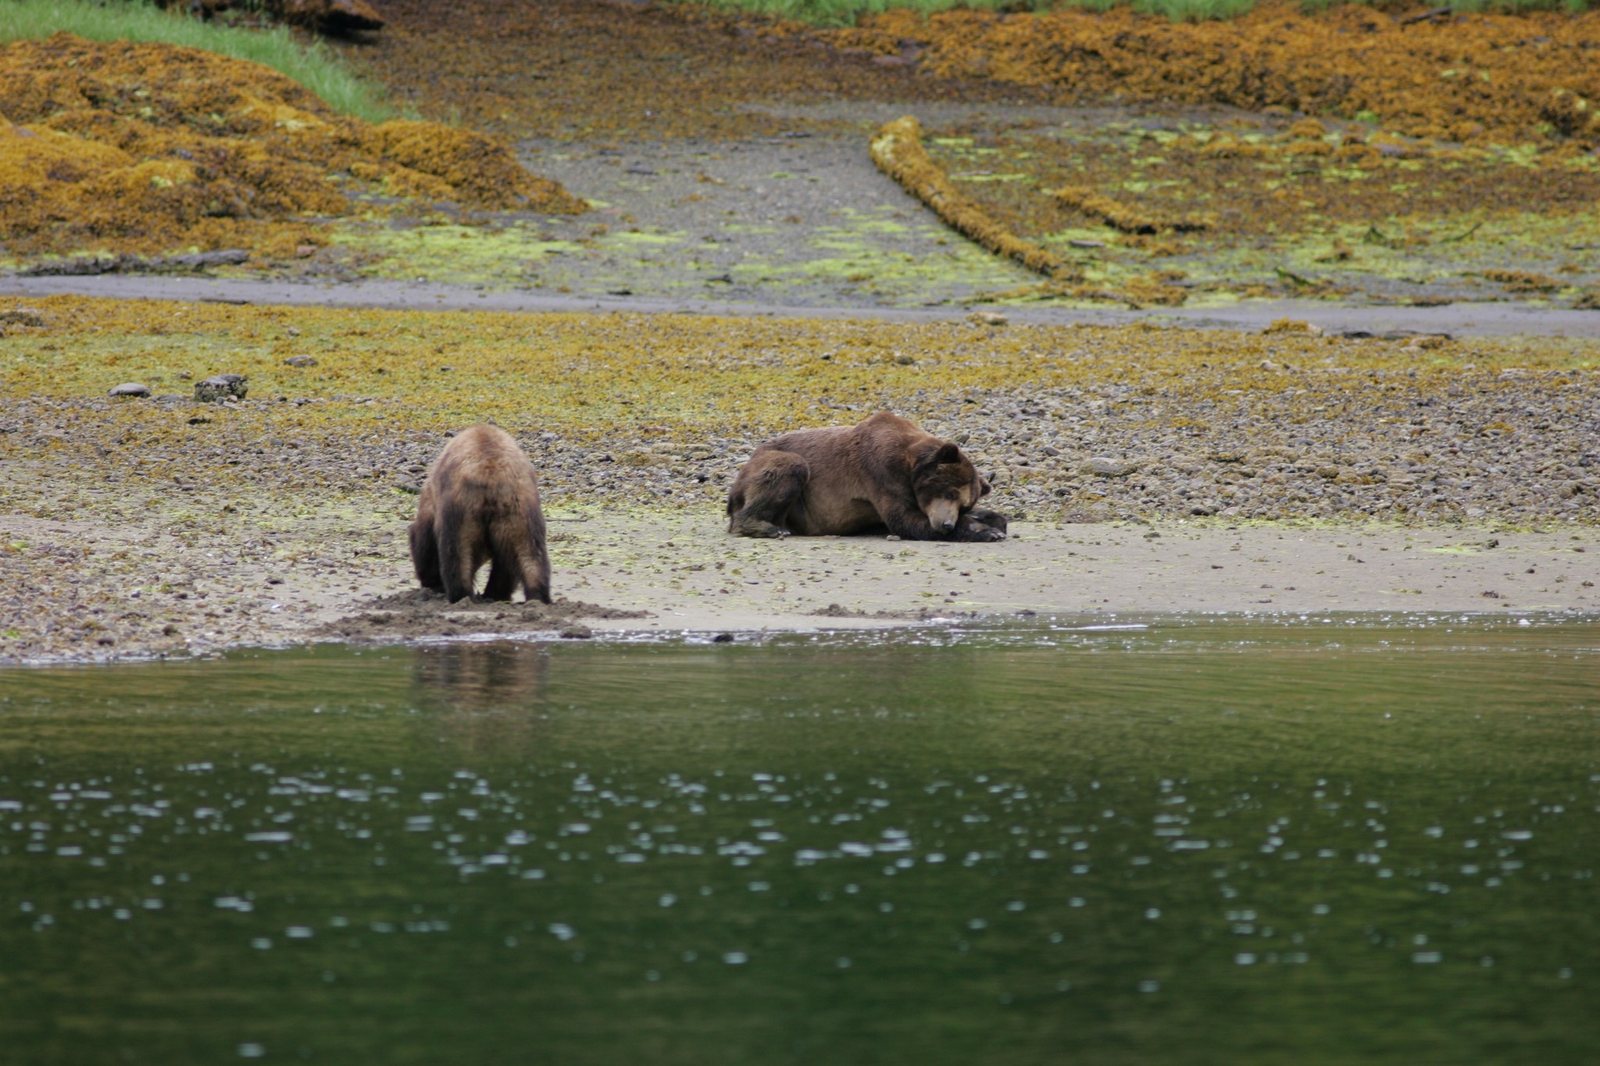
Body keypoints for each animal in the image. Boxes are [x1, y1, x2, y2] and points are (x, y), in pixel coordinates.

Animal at [409, 424, 552, 604]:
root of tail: (491, 476)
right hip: (519, 510)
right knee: (530, 554)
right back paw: (536, 597)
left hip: (462, 510)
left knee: (457, 553)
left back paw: (461, 595)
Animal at [726, 411, 1007, 542]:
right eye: (949, 492)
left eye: (964, 504)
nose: (946, 524)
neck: (910, 465)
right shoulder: (882, 472)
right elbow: (904, 519)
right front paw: (985, 531)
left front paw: (993, 521)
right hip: (771, 466)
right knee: (790, 468)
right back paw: (769, 527)